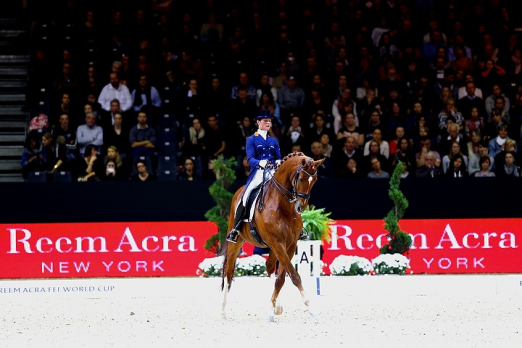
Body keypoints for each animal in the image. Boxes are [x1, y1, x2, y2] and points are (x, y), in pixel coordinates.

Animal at [220, 152, 324, 320]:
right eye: (301, 179)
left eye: (314, 180)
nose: (301, 207)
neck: (282, 206)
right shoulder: (277, 243)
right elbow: (294, 275)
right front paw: (309, 306)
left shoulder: (289, 245)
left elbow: (281, 278)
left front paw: (272, 307)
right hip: (236, 242)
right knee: (228, 271)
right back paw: (223, 311)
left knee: (269, 268)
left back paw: (277, 306)